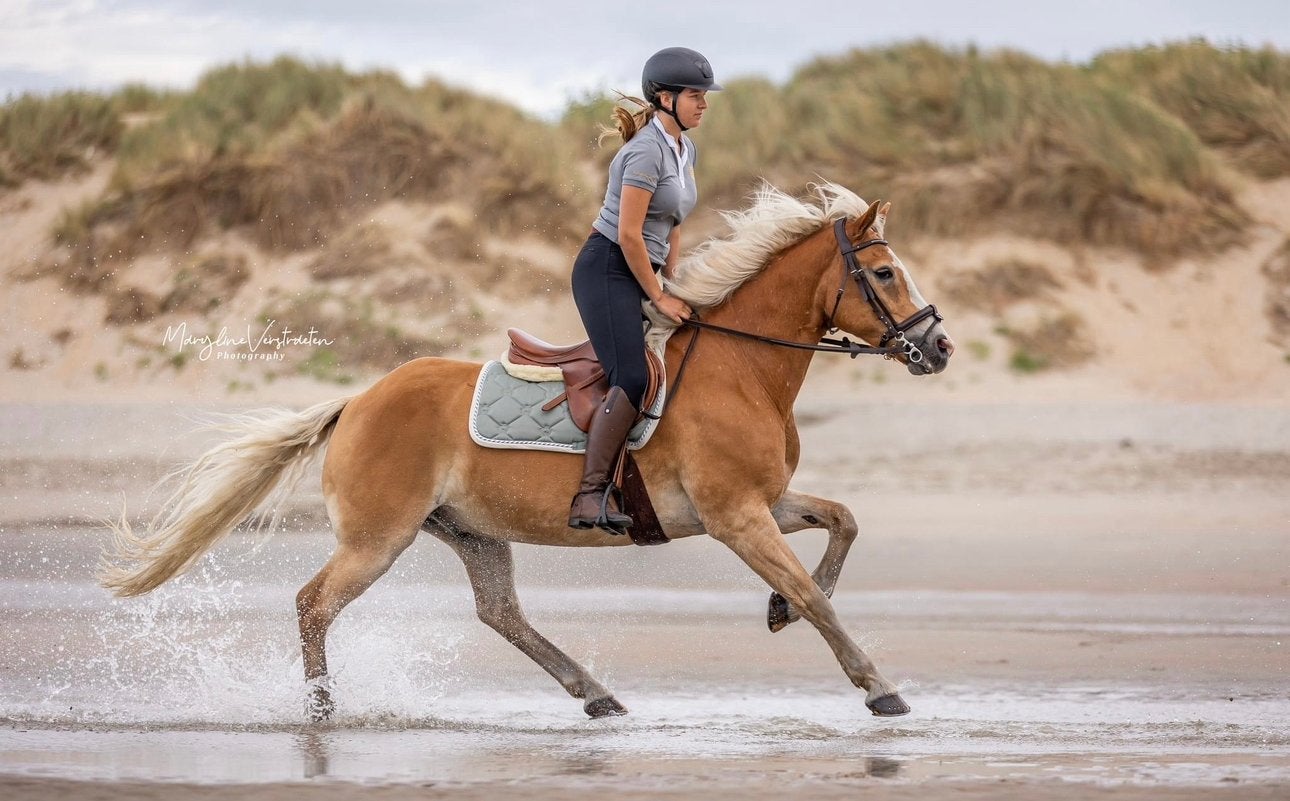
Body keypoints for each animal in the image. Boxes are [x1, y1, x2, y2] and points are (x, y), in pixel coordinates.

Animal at [100, 182, 954, 721]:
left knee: (500, 612)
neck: (739, 367)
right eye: (884, 272)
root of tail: (360, 398)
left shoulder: (763, 503)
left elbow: (843, 523)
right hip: (379, 537)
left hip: (470, 530)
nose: (940, 347)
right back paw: (320, 709)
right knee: (316, 603)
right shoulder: (736, 515)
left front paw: (781, 609)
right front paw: (877, 686)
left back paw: (596, 693)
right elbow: (816, 596)